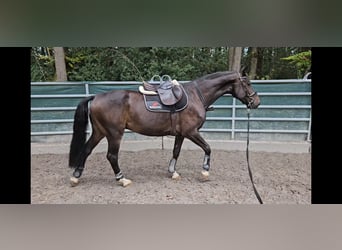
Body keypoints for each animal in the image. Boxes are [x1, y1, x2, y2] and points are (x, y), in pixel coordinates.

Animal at [67, 70, 260, 186]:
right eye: (247, 83)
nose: (256, 102)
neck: (196, 95)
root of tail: (96, 97)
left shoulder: (181, 134)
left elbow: (176, 151)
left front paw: (173, 172)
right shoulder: (192, 132)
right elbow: (208, 148)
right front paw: (205, 171)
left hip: (100, 132)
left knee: (86, 150)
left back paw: (76, 176)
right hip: (114, 134)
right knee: (111, 156)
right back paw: (122, 179)